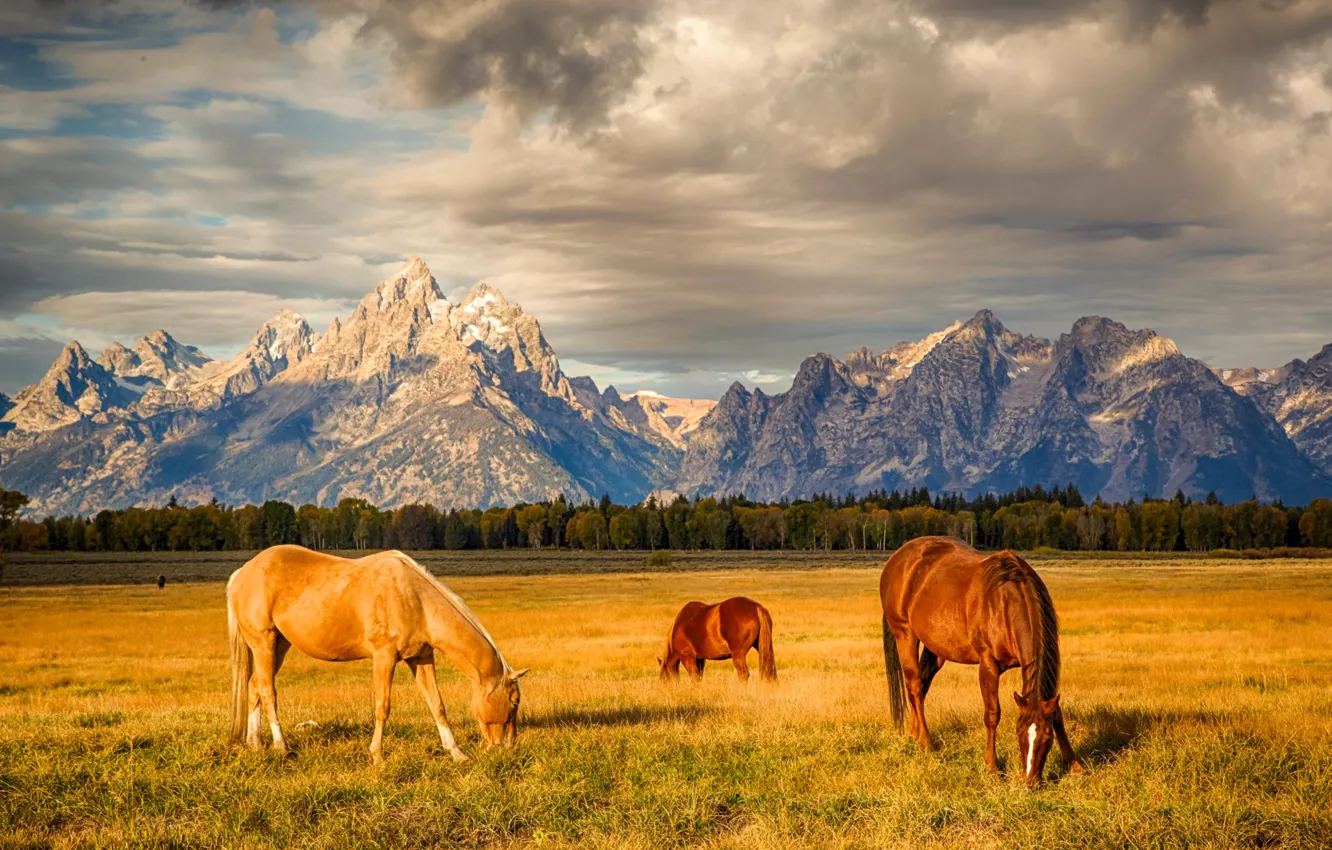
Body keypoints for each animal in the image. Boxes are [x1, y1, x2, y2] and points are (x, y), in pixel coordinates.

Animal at [226, 545, 527, 763]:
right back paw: (282, 747)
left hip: (279, 645)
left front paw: (456, 753)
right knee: (268, 691)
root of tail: (242, 572)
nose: (506, 747)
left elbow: (437, 704)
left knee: (254, 686)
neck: (414, 599)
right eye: (514, 702)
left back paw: (255, 744)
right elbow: (383, 707)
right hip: (263, 643)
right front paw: (377, 756)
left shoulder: (421, 658)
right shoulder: (385, 657)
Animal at [879, 536, 1082, 785]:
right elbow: (992, 714)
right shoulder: (988, 664)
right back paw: (926, 743)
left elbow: (1058, 714)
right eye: (1019, 733)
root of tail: (899, 557)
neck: (1005, 603)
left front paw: (1075, 765)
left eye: (1048, 738)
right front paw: (992, 767)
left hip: (935, 648)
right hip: (904, 634)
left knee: (921, 686)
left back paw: (914, 734)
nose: (1030, 782)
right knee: (915, 686)